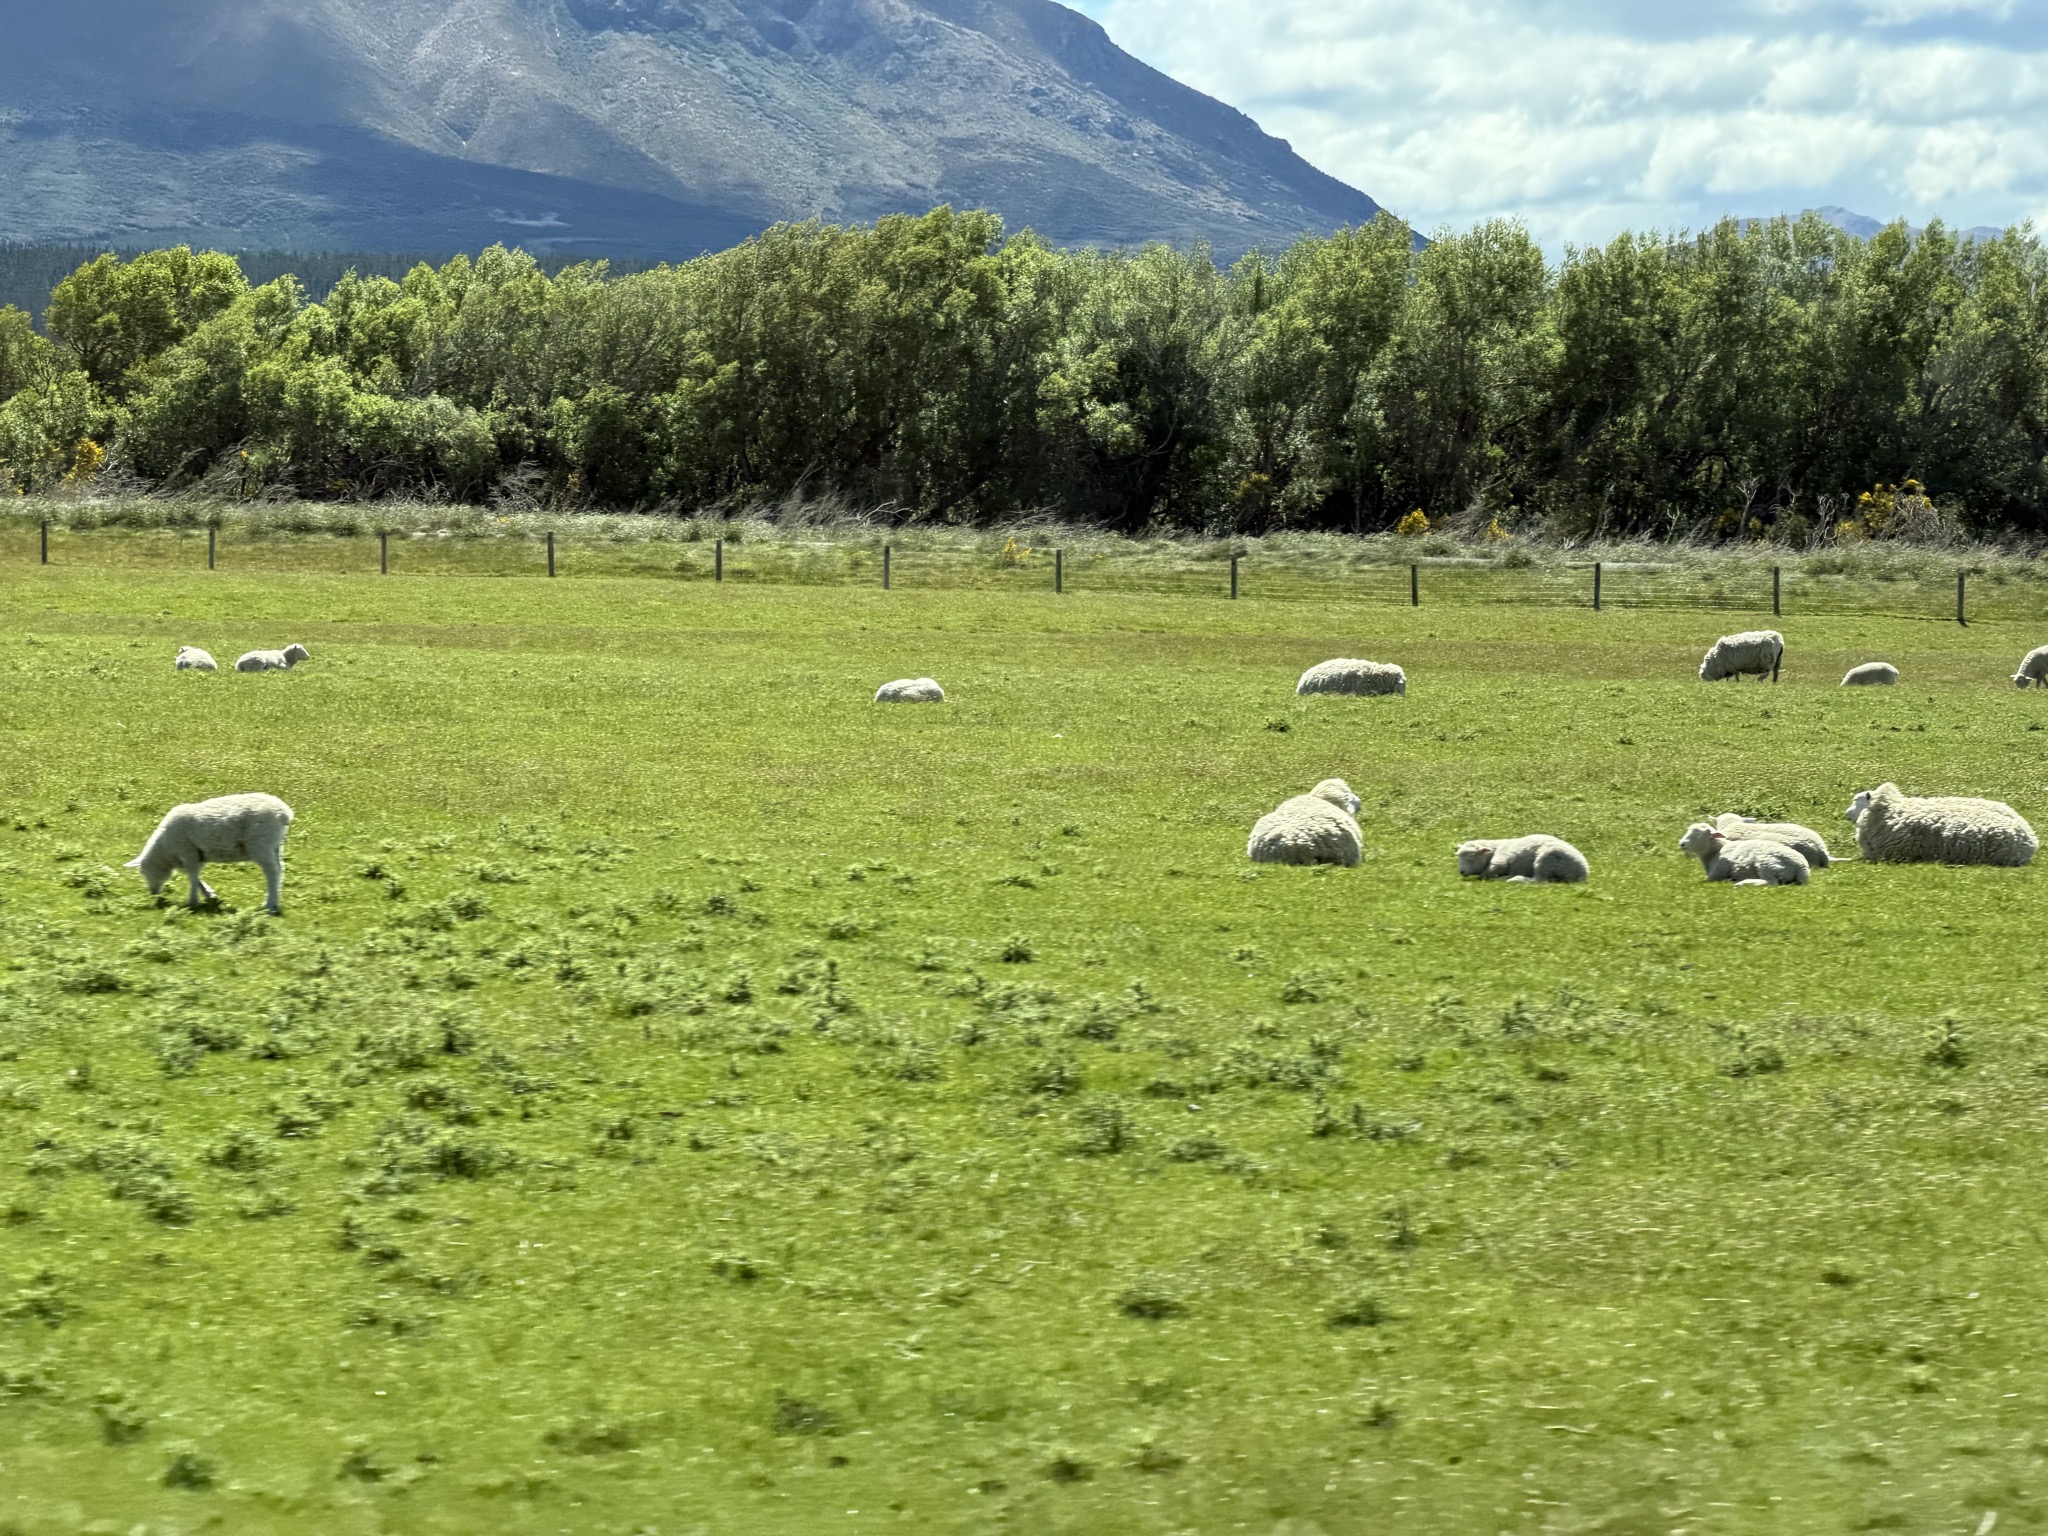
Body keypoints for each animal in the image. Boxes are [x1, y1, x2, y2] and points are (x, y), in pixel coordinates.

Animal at [125, 793, 295, 914]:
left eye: (144, 872)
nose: (152, 893)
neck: (166, 850)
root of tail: (283, 813)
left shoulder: (188, 852)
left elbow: (193, 876)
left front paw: (192, 901)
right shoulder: (194, 856)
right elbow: (195, 877)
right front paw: (209, 894)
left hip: (261, 844)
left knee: (272, 873)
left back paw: (270, 905)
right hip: (275, 845)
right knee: (280, 869)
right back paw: (274, 902)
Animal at [1455, 834, 1589, 884]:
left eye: (1471, 856)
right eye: (1459, 856)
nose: (1461, 872)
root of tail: (1582, 871)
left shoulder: (1500, 862)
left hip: (1546, 859)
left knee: (1539, 881)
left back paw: (1513, 879)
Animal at [1679, 823, 1810, 886]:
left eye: (1698, 834)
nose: (1682, 844)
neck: (1715, 852)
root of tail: (1801, 867)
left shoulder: (1715, 875)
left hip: (1767, 863)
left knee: (1771, 883)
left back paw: (1742, 883)